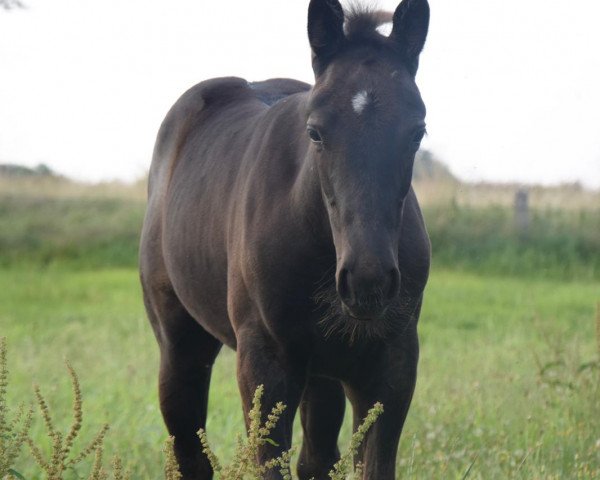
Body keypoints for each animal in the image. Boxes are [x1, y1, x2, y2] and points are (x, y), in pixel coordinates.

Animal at [141, 1, 432, 478]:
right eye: (315, 132)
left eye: (417, 131)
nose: (367, 281)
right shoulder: (265, 365)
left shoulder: (391, 365)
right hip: (180, 344)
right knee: (189, 453)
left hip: (322, 374)